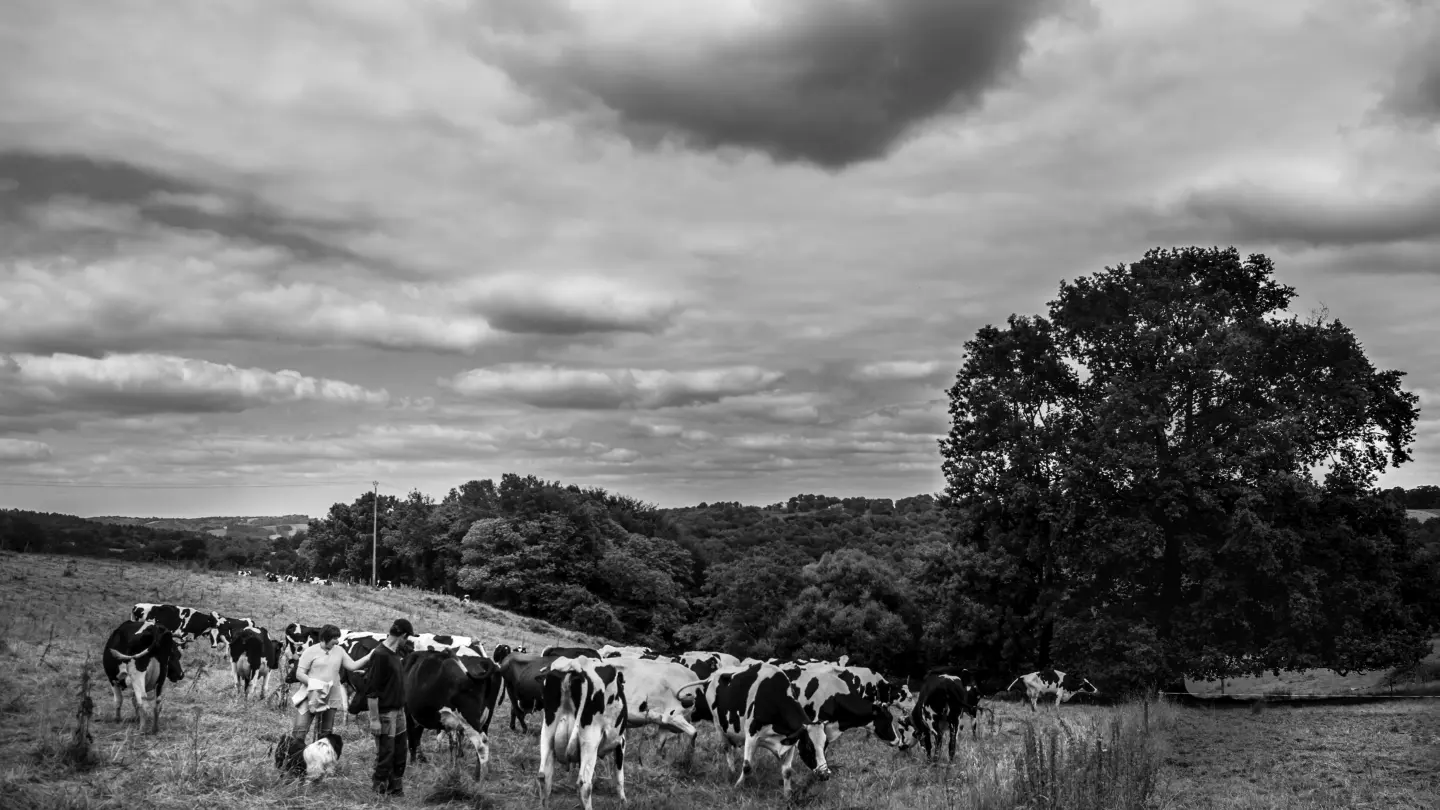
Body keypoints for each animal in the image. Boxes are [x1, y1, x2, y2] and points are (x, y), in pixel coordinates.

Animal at [535, 651, 624, 807]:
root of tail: (573, 669)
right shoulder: (621, 741)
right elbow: (620, 776)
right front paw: (623, 801)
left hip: (547, 731)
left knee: (543, 777)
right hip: (590, 739)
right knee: (584, 784)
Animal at [685, 662, 823, 795]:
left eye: (825, 744)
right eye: (809, 746)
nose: (825, 774)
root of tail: (712, 676)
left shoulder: (790, 741)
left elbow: (787, 771)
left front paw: (788, 794)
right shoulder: (752, 736)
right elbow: (747, 767)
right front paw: (737, 786)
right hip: (718, 725)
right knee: (726, 748)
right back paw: (732, 771)